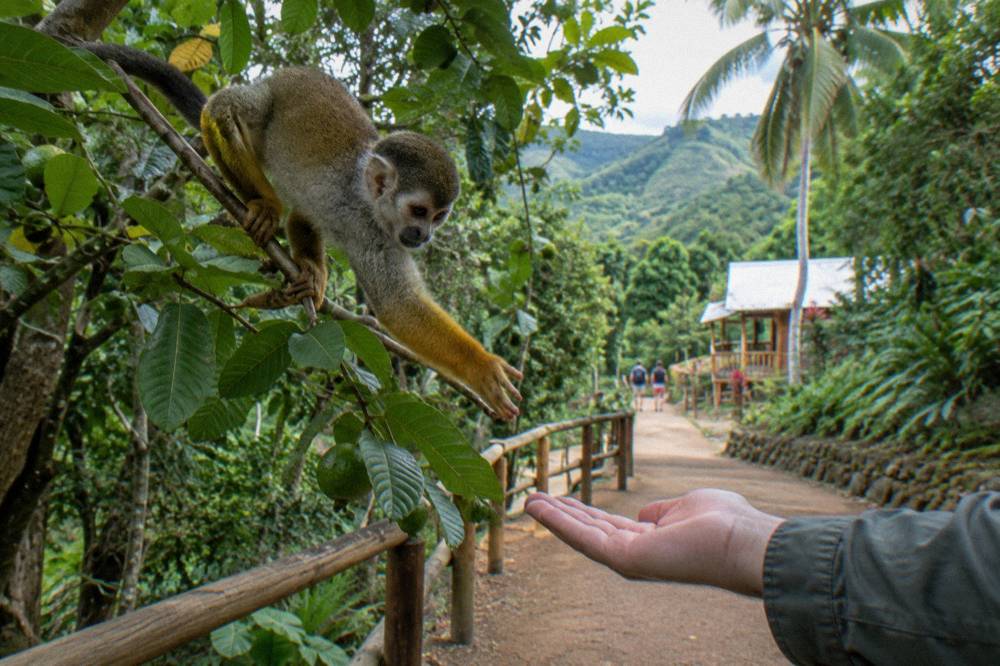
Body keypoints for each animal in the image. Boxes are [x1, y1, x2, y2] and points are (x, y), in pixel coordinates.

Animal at [85, 45, 522, 420]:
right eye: (419, 212)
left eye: (439, 217)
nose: (423, 237)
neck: (367, 200)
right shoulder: (367, 227)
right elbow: (396, 305)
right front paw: (482, 366)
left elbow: (305, 220)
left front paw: (311, 276)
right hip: (266, 99)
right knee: (223, 109)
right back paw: (263, 202)